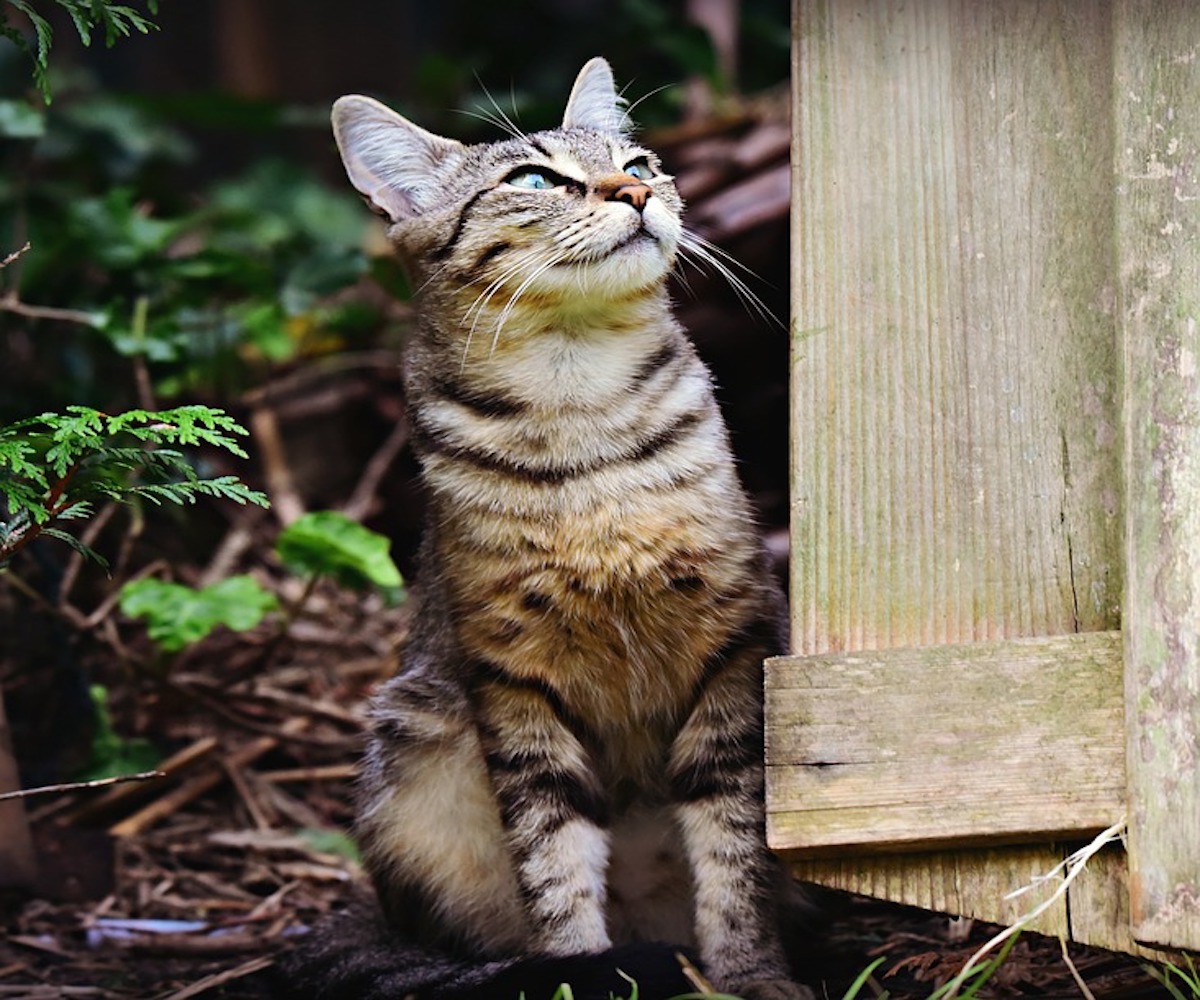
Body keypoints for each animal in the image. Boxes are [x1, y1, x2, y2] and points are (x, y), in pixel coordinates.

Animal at [288, 60, 816, 998]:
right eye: (534, 180)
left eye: (638, 161)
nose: (634, 191)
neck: (581, 416)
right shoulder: (514, 678)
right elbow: (554, 865)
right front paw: (581, 970)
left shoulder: (733, 645)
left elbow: (735, 856)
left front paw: (751, 976)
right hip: (409, 770)